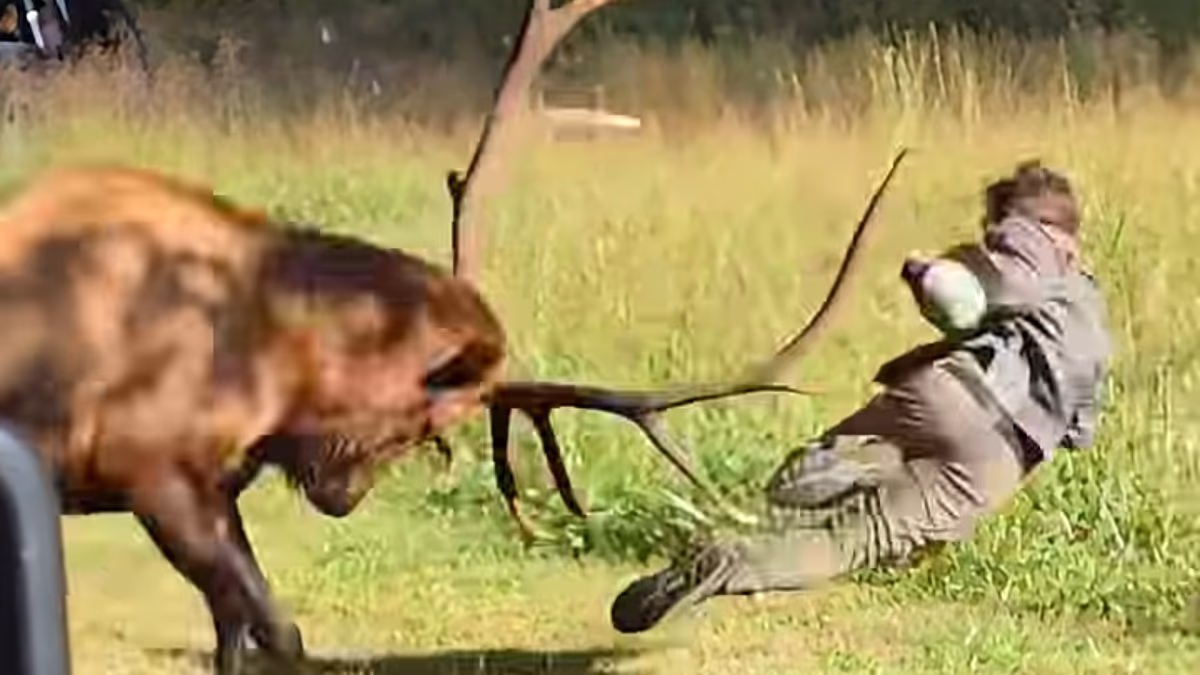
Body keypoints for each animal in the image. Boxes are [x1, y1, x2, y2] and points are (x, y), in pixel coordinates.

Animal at [0, 2, 907, 674]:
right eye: (420, 418)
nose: (342, 497)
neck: (266, 361)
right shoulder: (152, 469)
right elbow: (277, 630)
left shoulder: (210, 485)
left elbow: (241, 632)